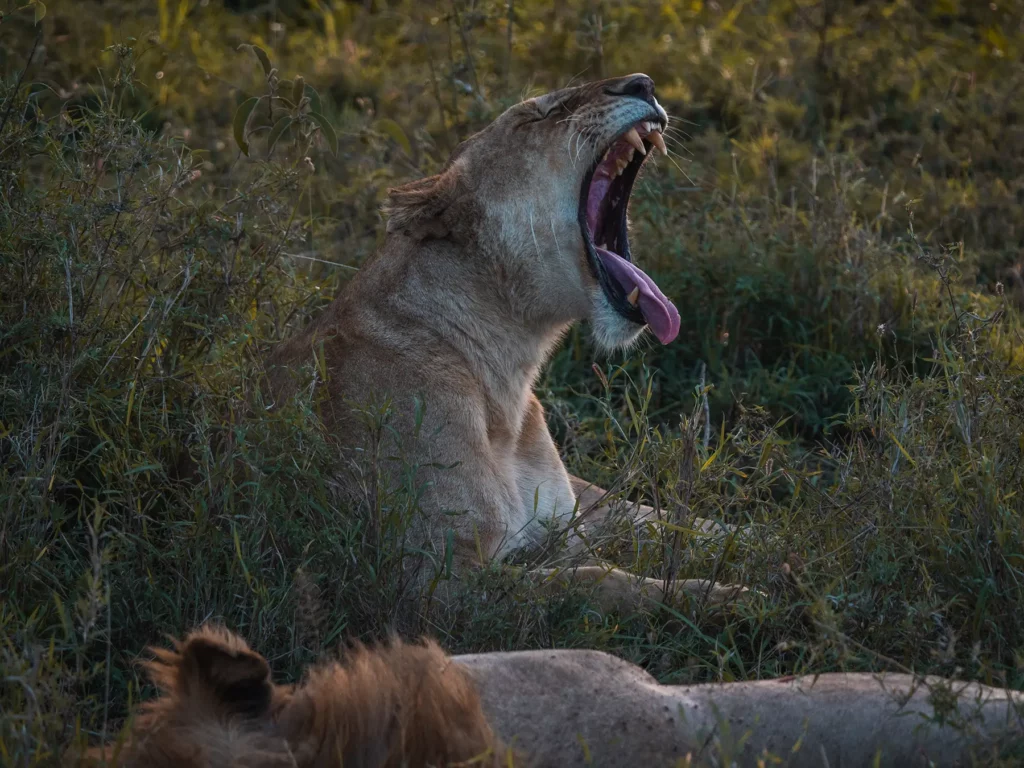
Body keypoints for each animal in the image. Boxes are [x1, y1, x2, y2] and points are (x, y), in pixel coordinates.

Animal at [266, 73, 743, 613]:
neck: (509, 371)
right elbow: (600, 582)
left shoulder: (568, 515)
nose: (643, 83)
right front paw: (729, 597)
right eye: (538, 115)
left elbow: (659, 519)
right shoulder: (434, 580)